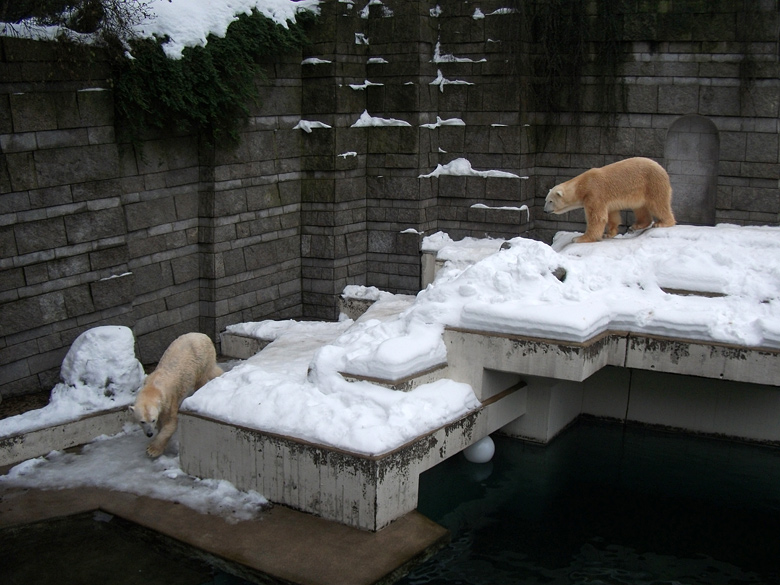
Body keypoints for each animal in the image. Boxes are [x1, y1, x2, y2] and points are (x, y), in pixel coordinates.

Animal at [544, 156, 676, 243]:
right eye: (546, 200)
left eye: (550, 201)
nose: (545, 210)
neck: (582, 185)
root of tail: (662, 169)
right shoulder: (606, 200)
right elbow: (612, 214)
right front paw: (608, 234)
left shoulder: (594, 193)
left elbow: (597, 217)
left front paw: (579, 238)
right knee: (640, 207)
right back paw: (635, 226)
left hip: (652, 183)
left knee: (658, 203)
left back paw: (662, 223)